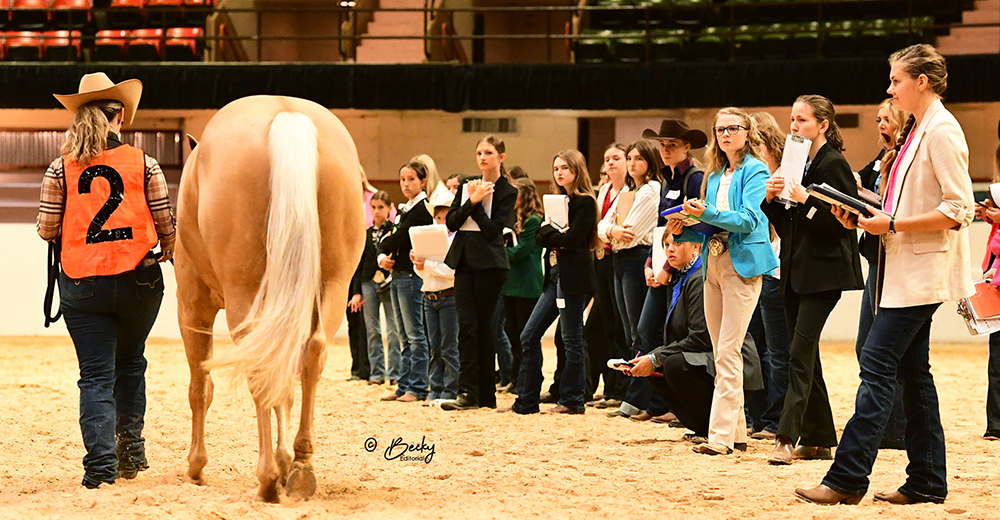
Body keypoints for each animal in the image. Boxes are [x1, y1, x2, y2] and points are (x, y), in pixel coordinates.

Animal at [175, 95, 364, 502]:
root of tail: (287, 114)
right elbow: (285, 389)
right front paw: (284, 457)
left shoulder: (192, 307)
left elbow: (200, 388)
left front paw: (197, 465)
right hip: (332, 286)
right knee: (312, 353)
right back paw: (301, 466)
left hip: (243, 296)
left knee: (259, 368)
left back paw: (267, 478)